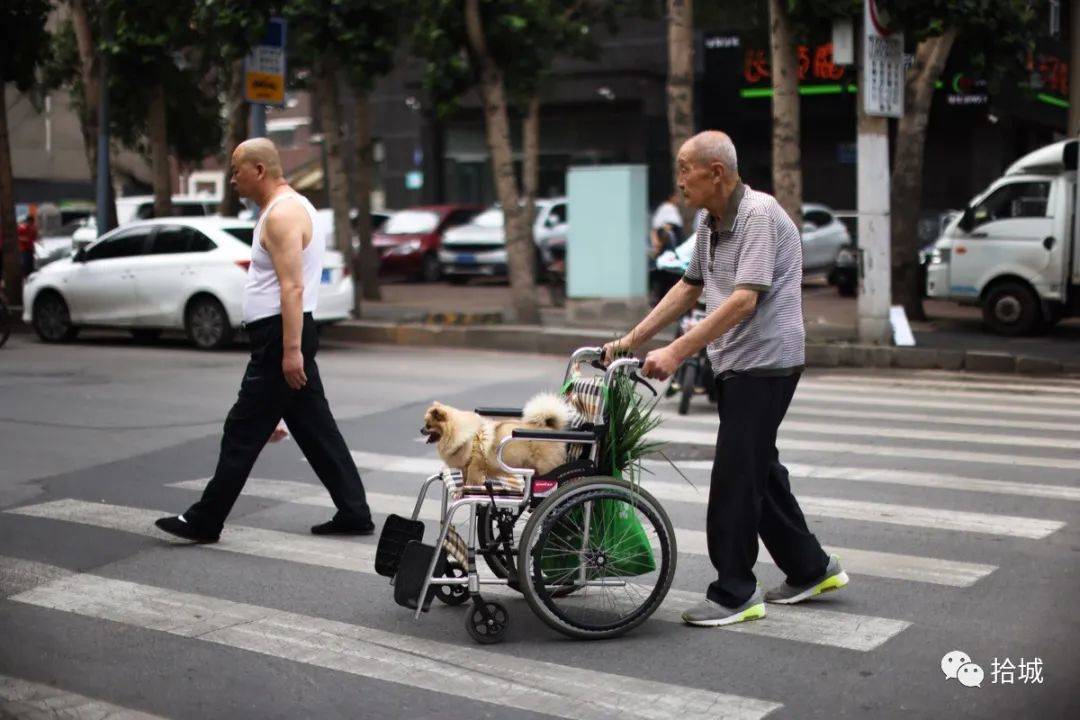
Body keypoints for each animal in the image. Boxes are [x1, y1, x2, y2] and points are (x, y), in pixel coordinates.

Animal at [419, 390, 574, 487]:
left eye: (428, 425)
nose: (421, 430)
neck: (462, 434)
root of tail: (551, 428)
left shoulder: (475, 467)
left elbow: (471, 481)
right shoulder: (465, 468)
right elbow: (464, 479)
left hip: (546, 467)